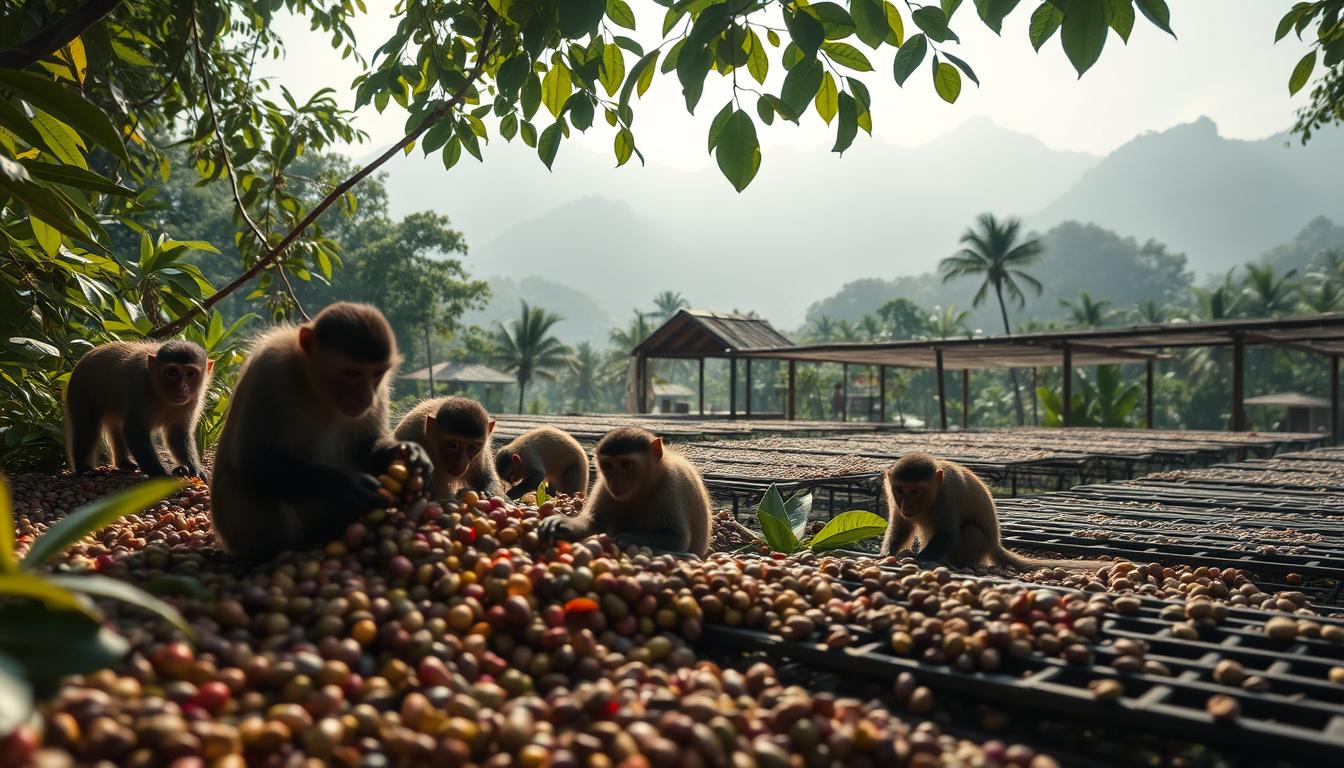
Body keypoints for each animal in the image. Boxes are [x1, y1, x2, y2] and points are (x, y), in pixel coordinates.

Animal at [65, 338, 212, 478]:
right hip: (79, 387)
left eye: (190, 374)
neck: (159, 392)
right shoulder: (139, 383)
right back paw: (85, 468)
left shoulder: (194, 398)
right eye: (172, 372)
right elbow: (135, 430)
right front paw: (161, 475)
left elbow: (177, 433)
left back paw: (123, 463)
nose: (182, 386)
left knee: (116, 426)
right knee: (86, 425)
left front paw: (194, 470)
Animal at [209, 303, 432, 562]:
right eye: (352, 373)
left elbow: (365, 447)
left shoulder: (381, 389)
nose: (366, 398)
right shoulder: (269, 370)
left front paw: (408, 453)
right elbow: (252, 462)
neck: (314, 384)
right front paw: (345, 485)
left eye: (376, 374)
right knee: (235, 484)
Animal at [534, 427, 715, 559]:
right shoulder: (604, 485)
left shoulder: (671, 484)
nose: (616, 481)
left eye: (626, 464)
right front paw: (561, 524)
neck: (644, 487)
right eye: (608, 466)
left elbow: (677, 538)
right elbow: (593, 525)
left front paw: (626, 538)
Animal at [881, 451, 1102, 570]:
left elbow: (949, 534)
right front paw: (886, 554)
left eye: (916, 491)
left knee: (971, 530)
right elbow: (901, 526)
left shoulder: (947, 493)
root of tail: (995, 544)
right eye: (901, 490)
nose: (906, 504)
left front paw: (918, 559)